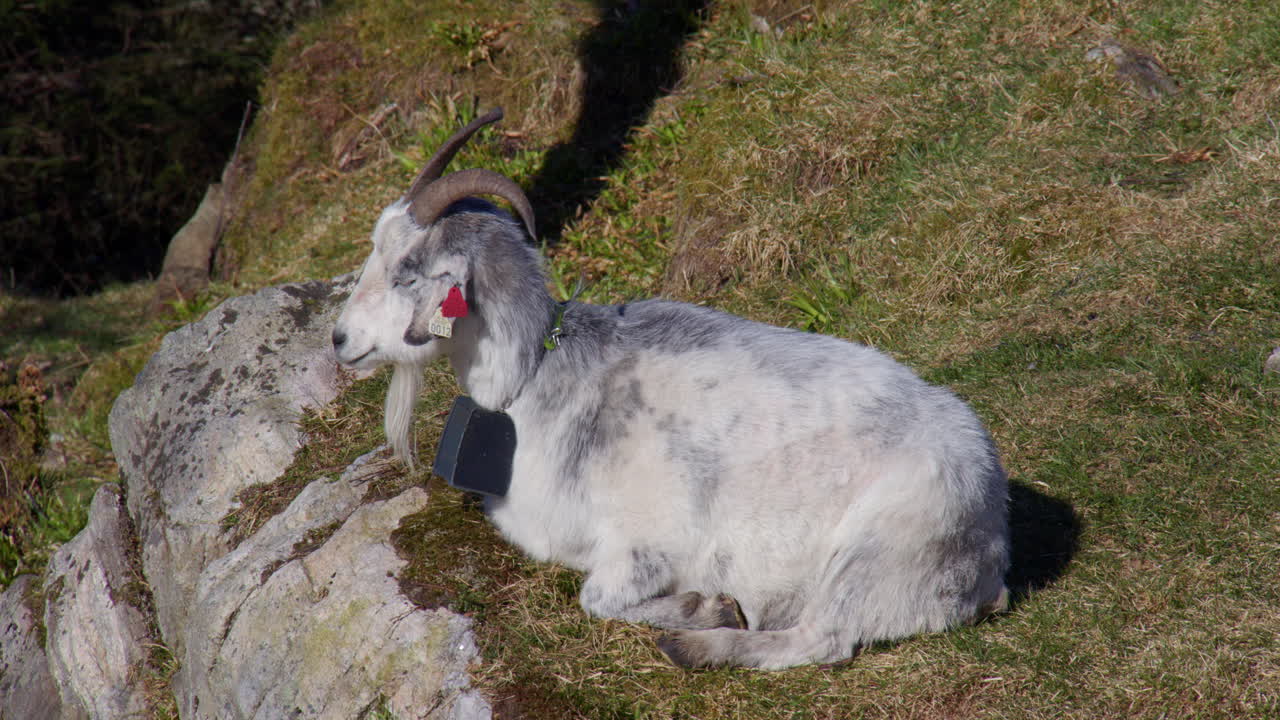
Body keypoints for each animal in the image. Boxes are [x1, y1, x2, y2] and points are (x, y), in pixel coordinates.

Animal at [331, 109, 1011, 669]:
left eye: (406, 274)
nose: (339, 339)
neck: (538, 382)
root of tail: (990, 545)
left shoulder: (645, 546)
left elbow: (596, 598)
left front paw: (704, 606)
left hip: (868, 552)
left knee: (823, 640)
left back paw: (696, 645)